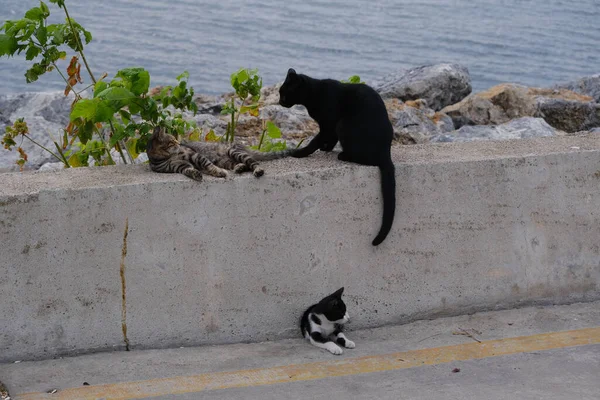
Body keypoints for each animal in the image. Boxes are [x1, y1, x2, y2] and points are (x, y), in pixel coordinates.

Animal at [146, 126, 294, 181]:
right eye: (172, 141)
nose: (179, 143)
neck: (167, 157)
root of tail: (242, 145)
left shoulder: (194, 156)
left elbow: (208, 165)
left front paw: (218, 172)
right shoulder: (179, 166)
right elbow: (189, 170)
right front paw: (195, 174)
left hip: (234, 152)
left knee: (254, 162)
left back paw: (257, 170)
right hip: (225, 161)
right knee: (243, 164)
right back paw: (239, 167)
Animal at [278, 69, 396, 245]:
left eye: (283, 93)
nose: (279, 101)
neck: (314, 94)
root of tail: (386, 152)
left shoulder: (329, 123)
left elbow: (316, 140)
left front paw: (301, 152)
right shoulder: (329, 127)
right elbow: (329, 140)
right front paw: (325, 148)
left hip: (343, 124)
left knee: (366, 158)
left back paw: (343, 155)